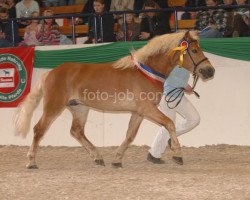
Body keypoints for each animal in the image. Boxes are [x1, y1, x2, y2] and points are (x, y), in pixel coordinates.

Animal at [13, 30, 215, 169]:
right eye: (194, 50)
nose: (209, 71)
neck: (147, 73)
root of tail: (50, 73)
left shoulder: (139, 112)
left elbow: (130, 135)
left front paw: (117, 160)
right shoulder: (148, 109)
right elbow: (169, 123)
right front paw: (178, 154)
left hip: (80, 108)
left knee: (76, 131)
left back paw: (98, 157)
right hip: (54, 106)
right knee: (39, 129)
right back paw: (31, 162)